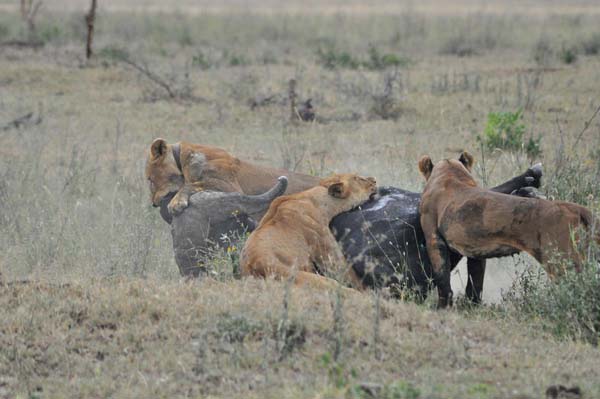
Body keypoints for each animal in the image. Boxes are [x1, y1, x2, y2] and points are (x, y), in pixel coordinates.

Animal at [241, 173, 378, 292]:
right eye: (358, 178)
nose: (374, 180)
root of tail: (255, 265)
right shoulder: (326, 249)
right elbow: (350, 274)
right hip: (312, 278)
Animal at [420, 152, 596, 308]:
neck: (451, 174)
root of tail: (573, 207)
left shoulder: (433, 238)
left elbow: (442, 279)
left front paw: (442, 309)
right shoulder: (476, 249)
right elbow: (475, 282)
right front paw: (471, 306)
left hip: (561, 260)